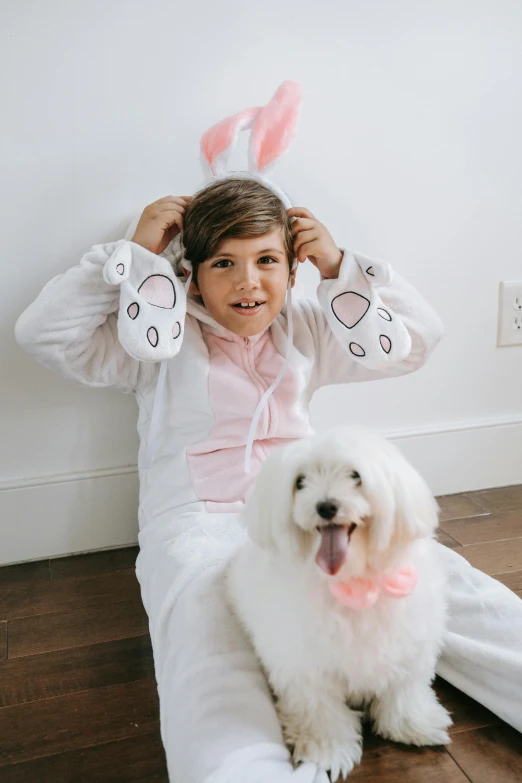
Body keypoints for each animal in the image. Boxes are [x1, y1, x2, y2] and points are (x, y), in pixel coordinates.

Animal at [228, 428, 450, 776]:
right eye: (300, 482)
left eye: (355, 476)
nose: (326, 506)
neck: (353, 580)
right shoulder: (303, 666)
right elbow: (319, 709)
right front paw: (328, 751)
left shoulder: (409, 644)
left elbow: (405, 688)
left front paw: (413, 724)